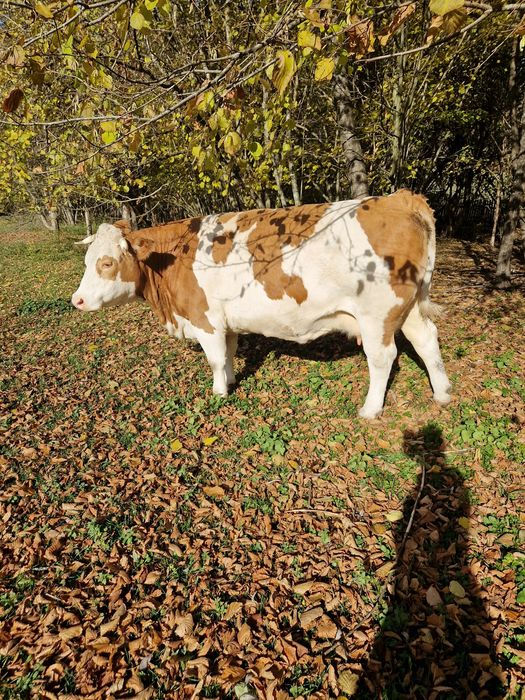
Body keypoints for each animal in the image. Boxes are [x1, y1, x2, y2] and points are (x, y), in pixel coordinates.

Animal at [71, 189, 451, 418]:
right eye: (87, 261)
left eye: (106, 263)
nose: (77, 300)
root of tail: (398, 199)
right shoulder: (226, 321)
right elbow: (227, 354)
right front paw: (230, 380)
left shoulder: (206, 319)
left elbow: (214, 359)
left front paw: (219, 393)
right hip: (408, 308)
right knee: (426, 339)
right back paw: (443, 393)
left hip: (377, 314)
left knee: (383, 357)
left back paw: (370, 409)